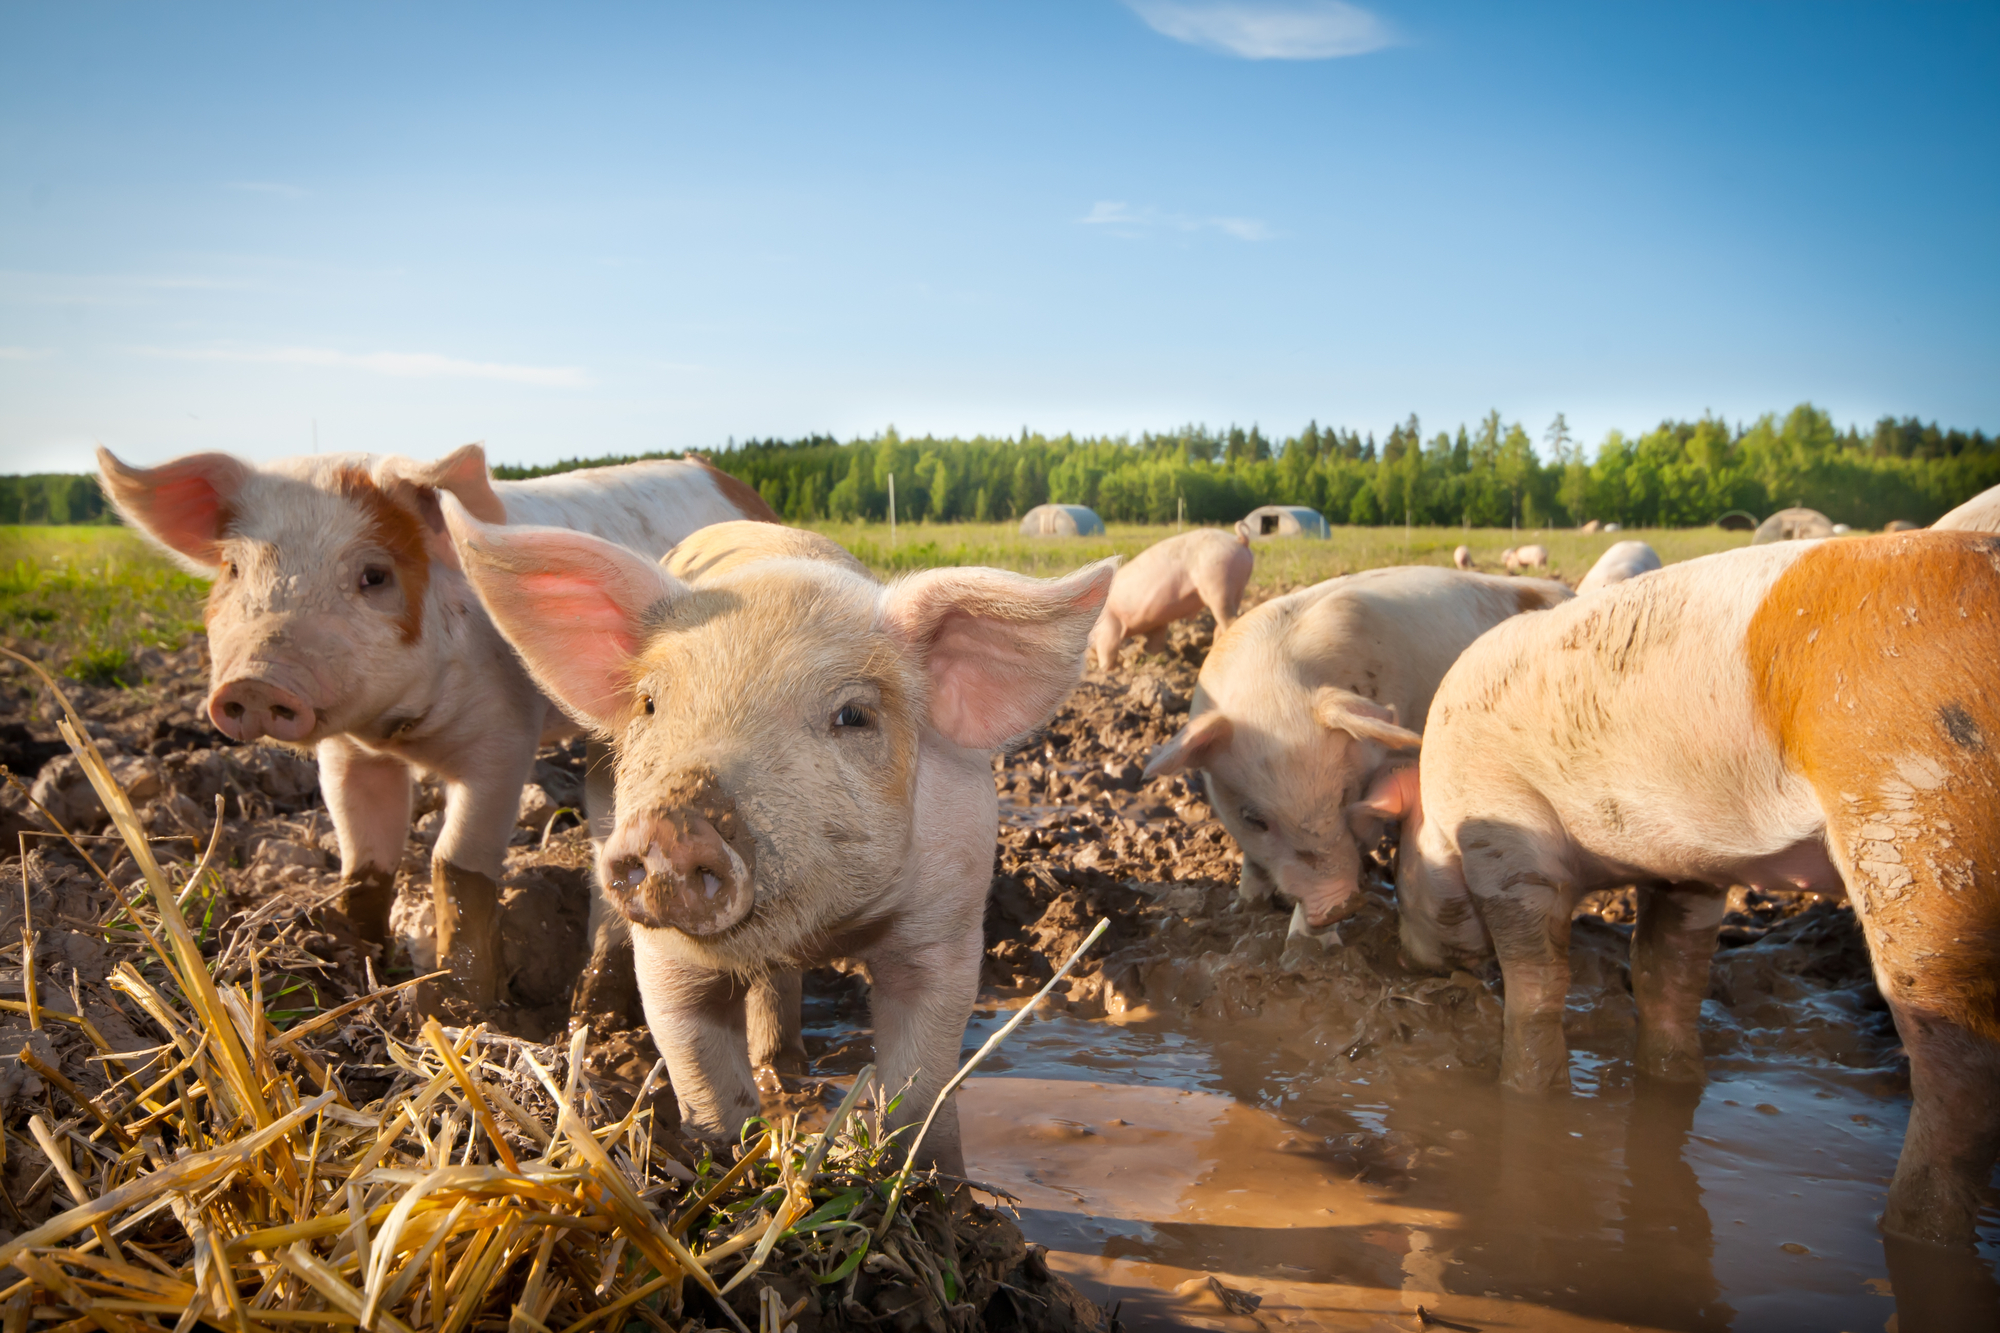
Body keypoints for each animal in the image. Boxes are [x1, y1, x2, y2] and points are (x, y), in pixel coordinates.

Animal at [96, 443, 773, 1010]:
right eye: (234, 570)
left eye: (374, 575)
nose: (256, 683)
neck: (402, 734)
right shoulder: (347, 754)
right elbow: (363, 860)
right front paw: (360, 967)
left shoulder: (504, 739)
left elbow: (456, 862)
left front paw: (459, 1008)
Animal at [442, 509, 1114, 1171]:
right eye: (650, 703)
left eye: (854, 716)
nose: (672, 828)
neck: (824, 929)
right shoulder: (665, 957)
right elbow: (699, 1065)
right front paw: (727, 1153)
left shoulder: (948, 920)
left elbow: (922, 1083)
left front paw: (935, 1182)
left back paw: (787, 1069)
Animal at [1088, 528, 1253, 671]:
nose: (1090, 663)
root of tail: (1240, 539)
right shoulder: (1155, 624)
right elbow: (1155, 645)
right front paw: (1155, 661)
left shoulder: (1108, 625)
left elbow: (1108, 648)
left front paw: (1106, 671)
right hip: (1237, 588)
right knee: (1221, 625)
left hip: (1218, 584)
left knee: (1230, 621)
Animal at [1372, 531, 2000, 1248]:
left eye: (1398, 865)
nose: (1403, 958)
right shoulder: (1687, 865)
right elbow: (1665, 973)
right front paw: (1673, 1084)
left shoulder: (1504, 839)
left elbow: (1537, 985)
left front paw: (1528, 1095)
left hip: (1918, 821)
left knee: (1959, 1066)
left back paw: (1910, 1227)